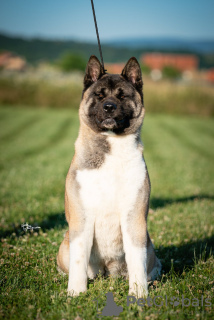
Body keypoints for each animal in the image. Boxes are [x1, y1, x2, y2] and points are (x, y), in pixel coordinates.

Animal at [56, 55, 160, 298]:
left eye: (122, 96)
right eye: (99, 95)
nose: (109, 107)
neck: (112, 144)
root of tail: (107, 269)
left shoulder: (134, 218)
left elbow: (136, 259)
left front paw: (138, 293)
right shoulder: (81, 218)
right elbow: (78, 260)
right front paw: (75, 292)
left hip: (150, 249)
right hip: (65, 245)